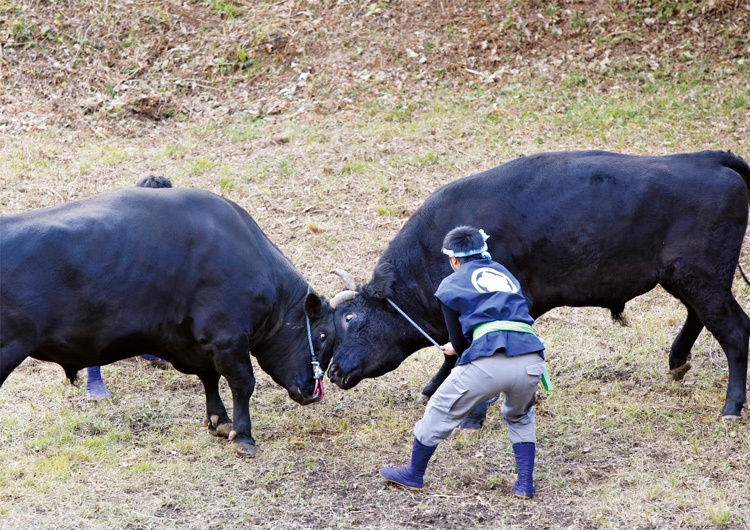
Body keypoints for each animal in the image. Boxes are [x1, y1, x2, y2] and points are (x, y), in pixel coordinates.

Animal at [0, 186, 334, 454]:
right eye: (322, 336)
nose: (312, 391)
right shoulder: (227, 338)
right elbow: (243, 383)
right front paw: (244, 436)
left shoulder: (194, 342)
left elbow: (210, 378)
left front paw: (219, 421)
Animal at [332, 151, 750, 418]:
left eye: (351, 319)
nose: (334, 371)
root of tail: (702, 157)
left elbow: (463, 349)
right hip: (688, 279)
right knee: (702, 317)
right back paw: (678, 362)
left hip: (702, 279)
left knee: (734, 332)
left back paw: (731, 407)